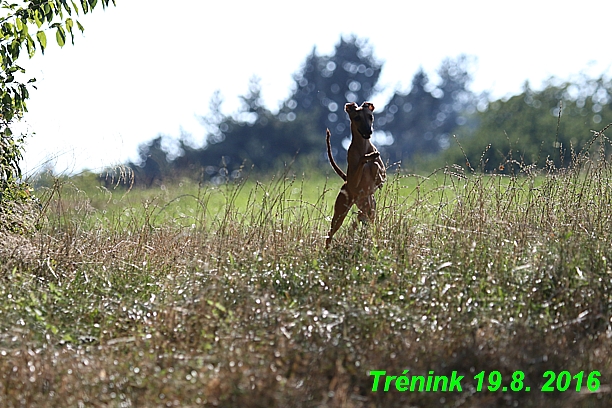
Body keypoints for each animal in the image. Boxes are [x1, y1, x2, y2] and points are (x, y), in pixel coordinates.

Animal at [322, 103, 384, 247]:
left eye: (370, 116)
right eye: (356, 118)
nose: (369, 131)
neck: (363, 147)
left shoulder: (383, 174)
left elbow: (376, 166)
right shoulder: (354, 181)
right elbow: (364, 161)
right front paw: (368, 157)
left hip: (370, 210)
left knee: (361, 220)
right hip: (340, 214)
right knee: (330, 234)